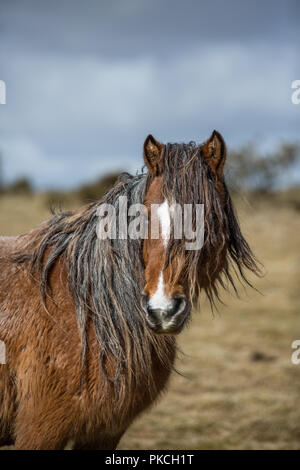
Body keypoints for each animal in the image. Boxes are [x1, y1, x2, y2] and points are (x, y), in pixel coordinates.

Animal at [0, 131, 258, 448]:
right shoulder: (39, 432)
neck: (86, 314)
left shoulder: (105, 433)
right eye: (142, 217)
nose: (162, 311)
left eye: (207, 219)